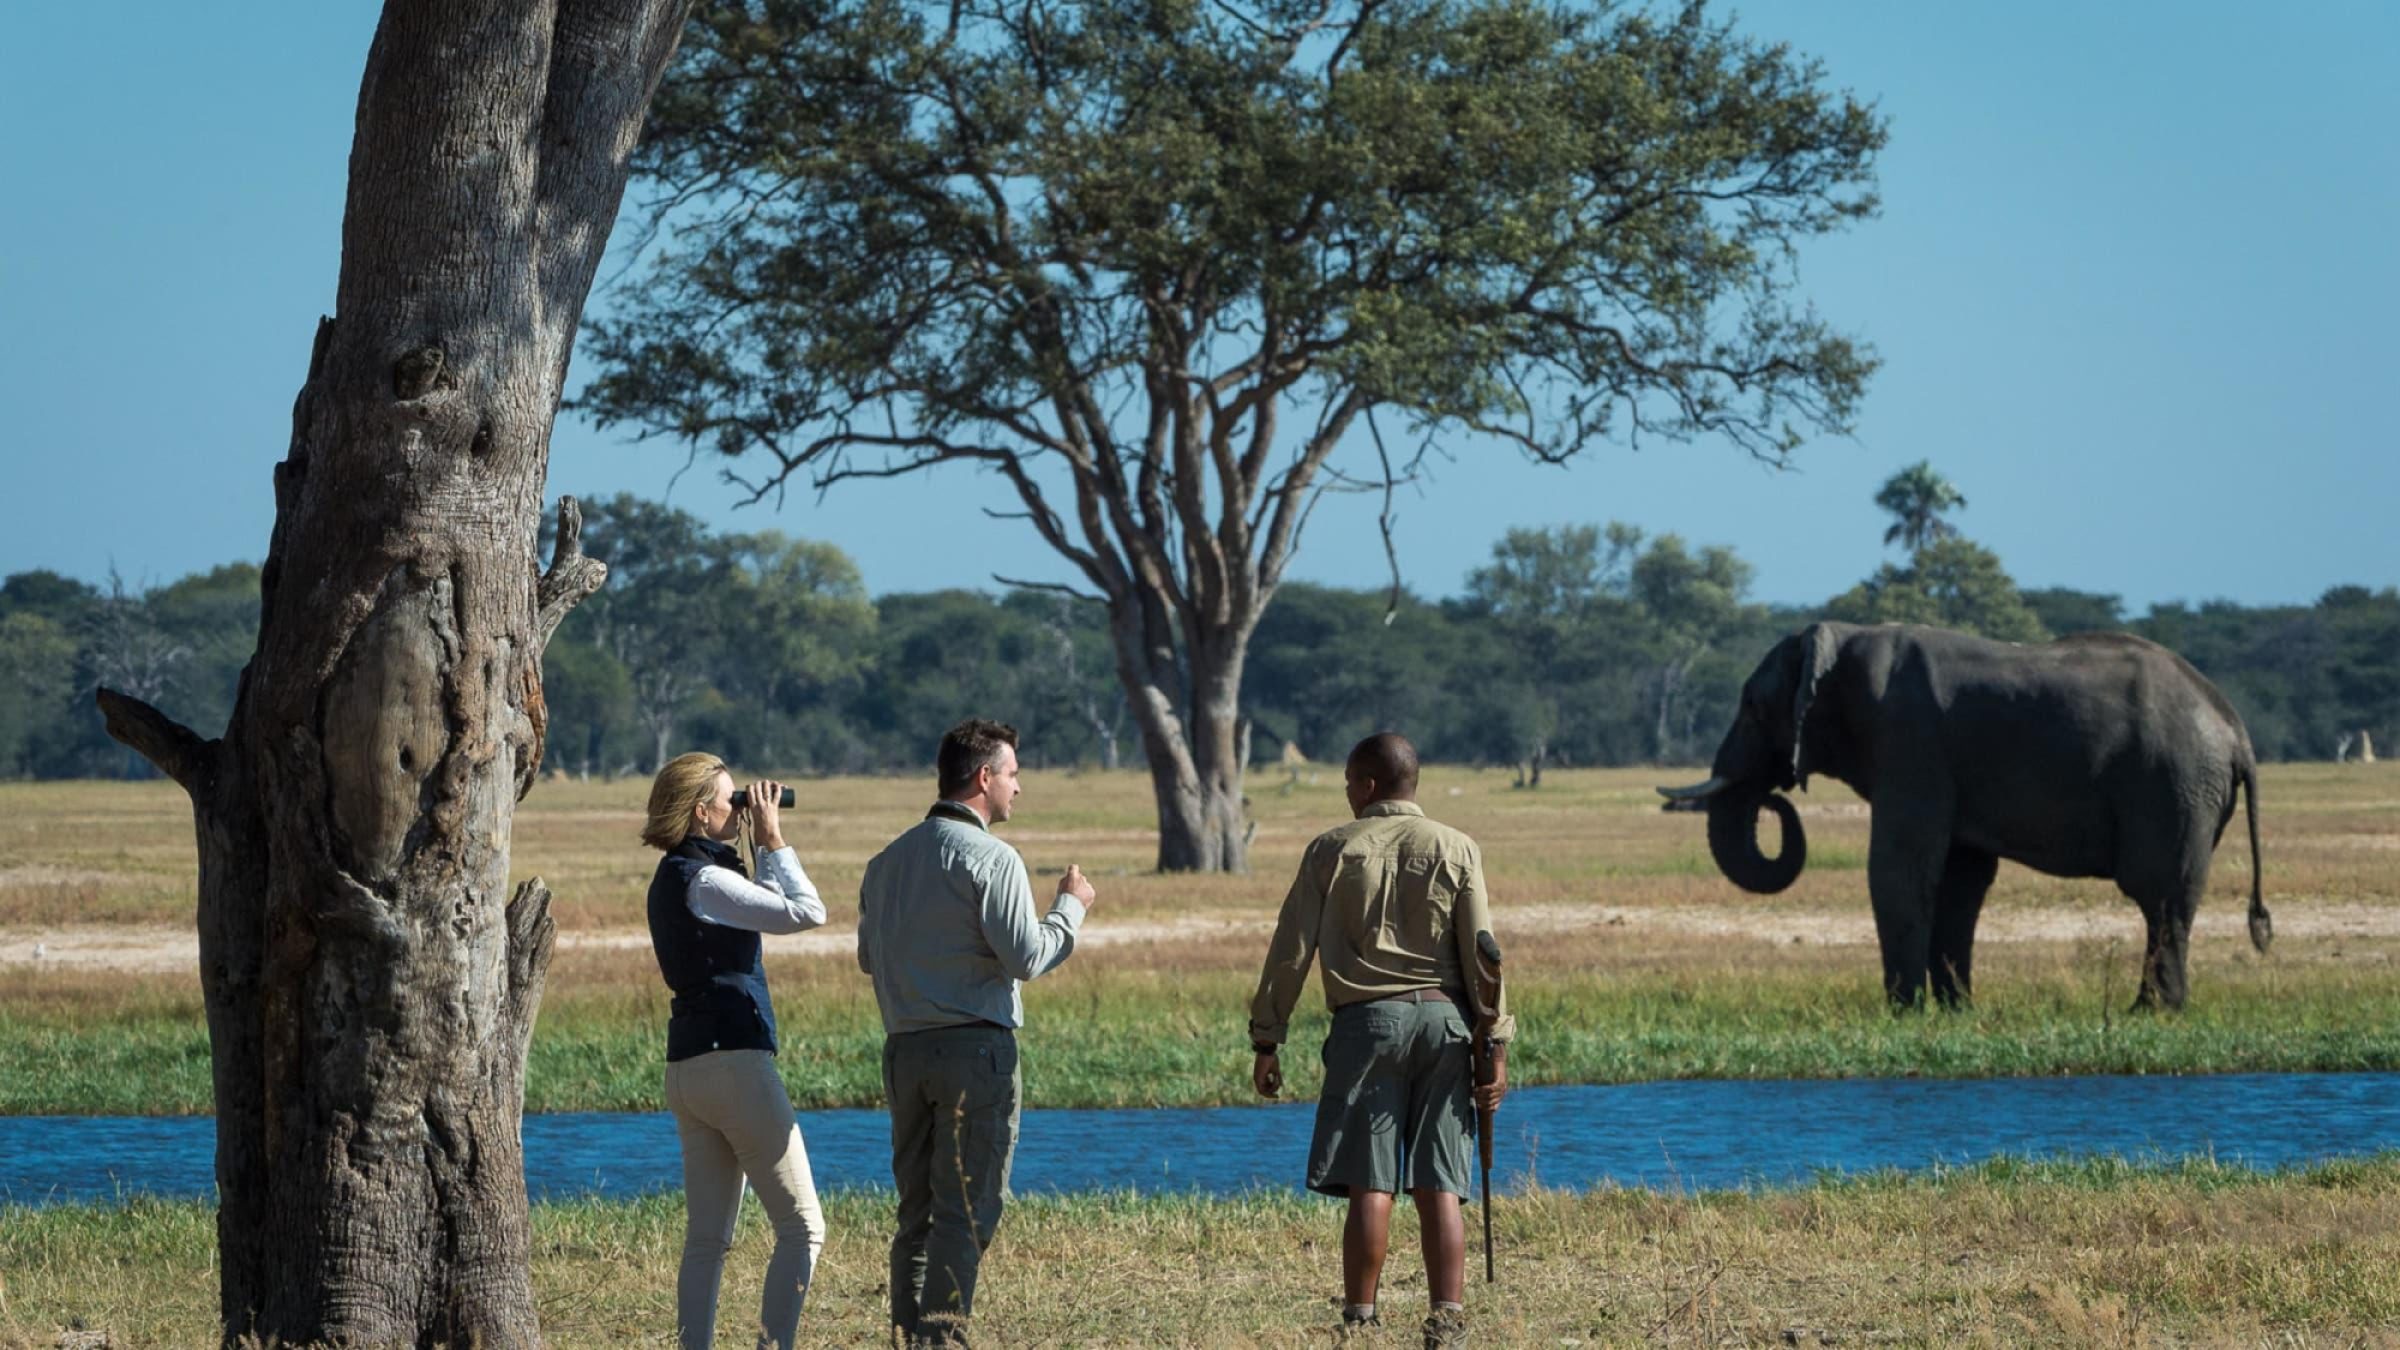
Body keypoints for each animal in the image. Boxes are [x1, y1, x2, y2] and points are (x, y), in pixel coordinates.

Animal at [1660, 622, 2270, 1010]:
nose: (1774, 795)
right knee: (2167, 901)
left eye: (1752, 706)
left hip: (2171, 786)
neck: (1843, 638)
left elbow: (1900, 869)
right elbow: (1959, 879)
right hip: (2188, 789)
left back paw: (2149, 1012)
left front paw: (1903, 1013)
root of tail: (2236, 728)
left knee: (2158, 896)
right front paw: (1956, 1011)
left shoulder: (1911, 741)